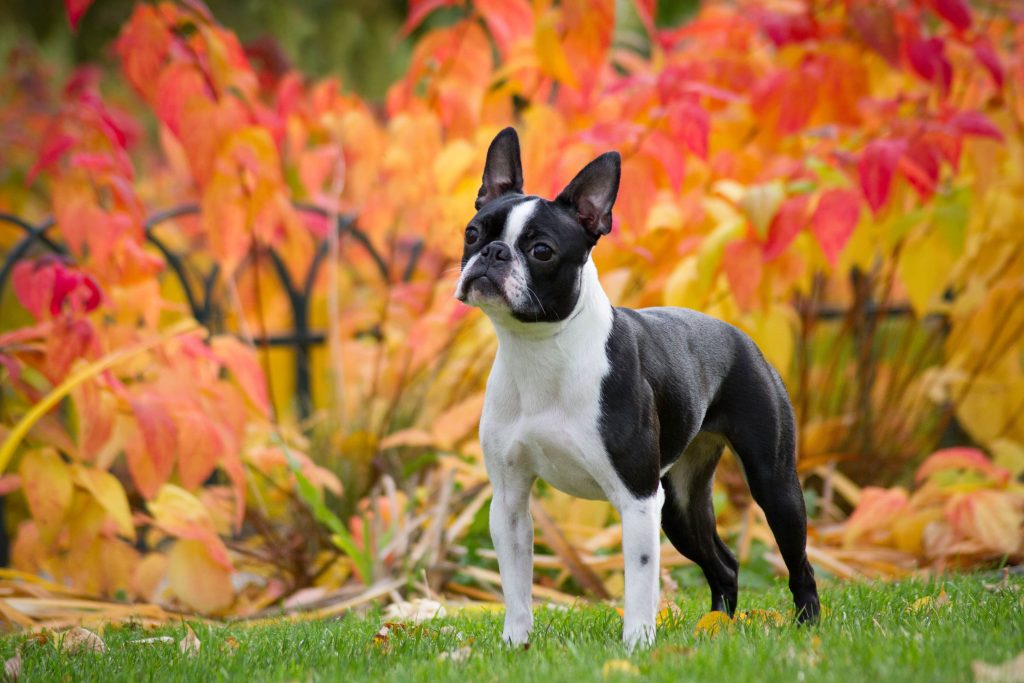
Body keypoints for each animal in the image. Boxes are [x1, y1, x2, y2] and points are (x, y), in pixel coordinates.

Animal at [456, 129, 823, 651]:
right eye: (473, 233)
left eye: (542, 250)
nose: (493, 253)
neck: (540, 349)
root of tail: (740, 336)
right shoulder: (509, 499)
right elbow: (516, 585)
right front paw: (515, 644)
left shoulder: (637, 498)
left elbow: (639, 580)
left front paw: (637, 646)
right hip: (682, 504)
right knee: (724, 564)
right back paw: (718, 628)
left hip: (773, 485)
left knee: (799, 563)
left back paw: (806, 626)